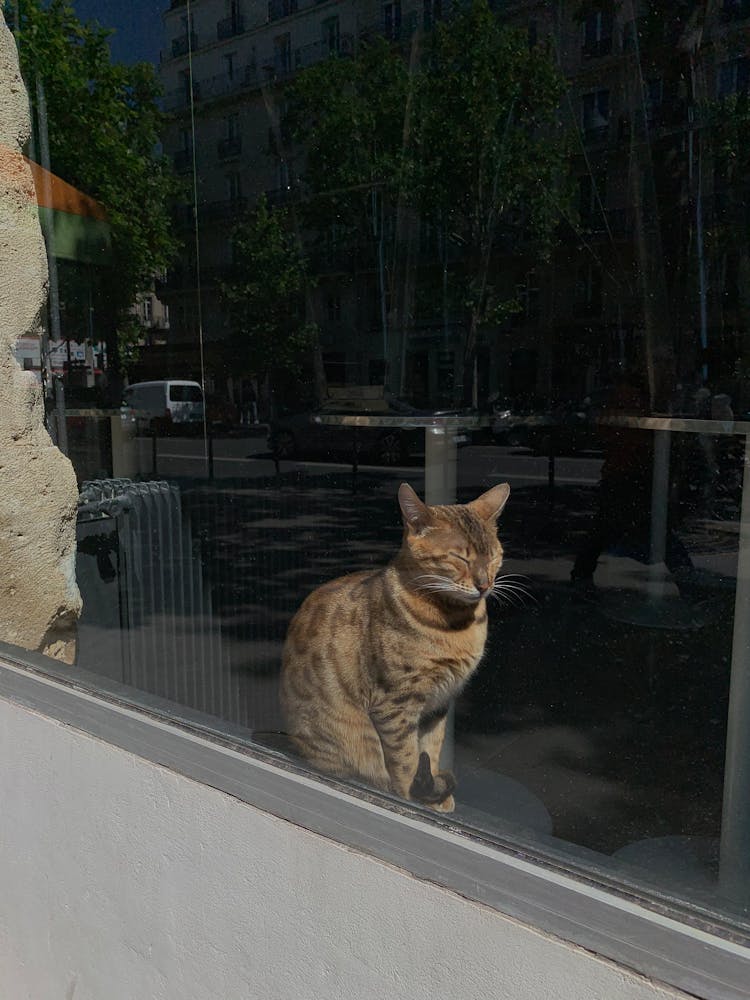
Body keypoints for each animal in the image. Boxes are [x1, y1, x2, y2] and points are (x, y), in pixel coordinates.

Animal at [280, 478, 516, 812]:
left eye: (495, 555)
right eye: (460, 557)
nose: (485, 585)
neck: (455, 623)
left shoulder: (438, 703)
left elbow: (430, 749)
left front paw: (433, 796)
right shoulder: (396, 703)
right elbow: (405, 760)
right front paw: (410, 799)